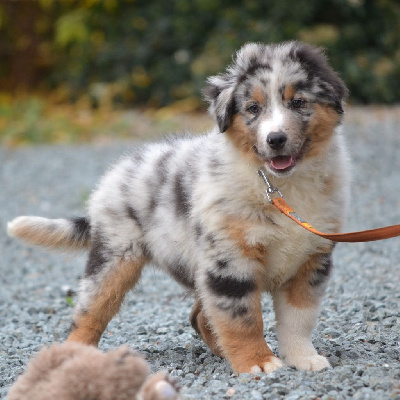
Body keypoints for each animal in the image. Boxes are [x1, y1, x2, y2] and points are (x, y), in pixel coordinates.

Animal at [7, 41, 350, 376]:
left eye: (298, 103)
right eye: (253, 108)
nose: (275, 139)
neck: (281, 186)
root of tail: (116, 173)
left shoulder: (311, 260)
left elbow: (298, 320)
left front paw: (304, 359)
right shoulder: (230, 261)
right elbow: (242, 319)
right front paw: (258, 363)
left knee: (199, 314)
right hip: (115, 258)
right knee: (89, 313)